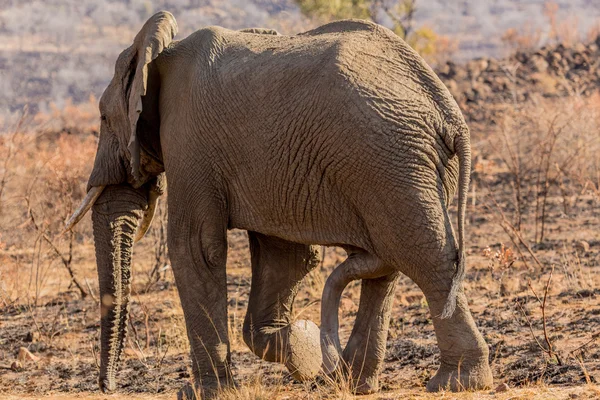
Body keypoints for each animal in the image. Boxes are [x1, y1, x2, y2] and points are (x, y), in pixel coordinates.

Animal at [65, 10, 494, 396]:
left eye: (102, 118)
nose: (108, 387)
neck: (158, 53)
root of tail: (446, 110)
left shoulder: (188, 139)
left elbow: (196, 248)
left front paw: (206, 393)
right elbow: (286, 257)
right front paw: (305, 350)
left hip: (390, 159)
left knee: (424, 257)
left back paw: (456, 383)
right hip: (393, 167)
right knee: (389, 263)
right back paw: (355, 383)